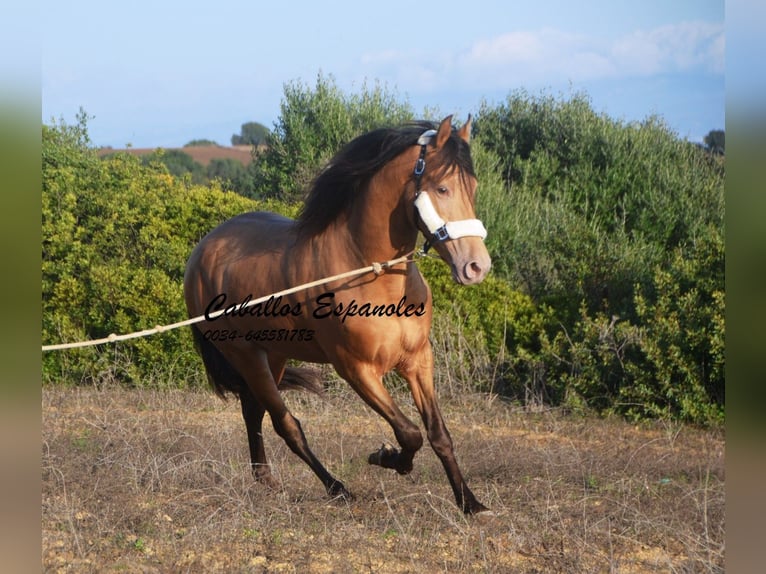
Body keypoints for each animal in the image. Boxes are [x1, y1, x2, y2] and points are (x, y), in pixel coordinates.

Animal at [189, 115, 496, 516]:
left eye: (472, 187)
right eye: (442, 188)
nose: (477, 267)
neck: (369, 270)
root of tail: (200, 253)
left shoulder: (418, 360)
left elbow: (438, 434)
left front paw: (469, 502)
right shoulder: (356, 369)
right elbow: (409, 433)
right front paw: (386, 458)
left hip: (273, 355)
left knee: (254, 411)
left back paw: (266, 479)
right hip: (245, 355)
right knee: (286, 424)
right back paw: (336, 487)